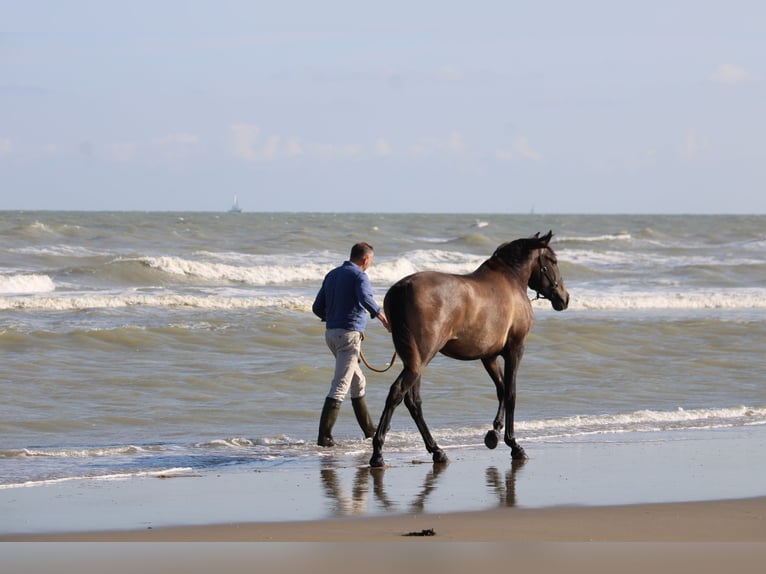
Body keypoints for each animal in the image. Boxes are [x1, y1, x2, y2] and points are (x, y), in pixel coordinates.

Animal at [369, 231, 569, 468]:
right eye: (553, 261)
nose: (564, 298)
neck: (511, 280)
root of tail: (402, 289)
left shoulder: (489, 356)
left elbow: (501, 389)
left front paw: (494, 433)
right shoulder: (515, 349)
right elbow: (511, 393)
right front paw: (514, 444)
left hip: (415, 361)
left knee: (413, 401)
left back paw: (436, 450)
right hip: (422, 358)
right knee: (398, 393)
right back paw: (378, 453)